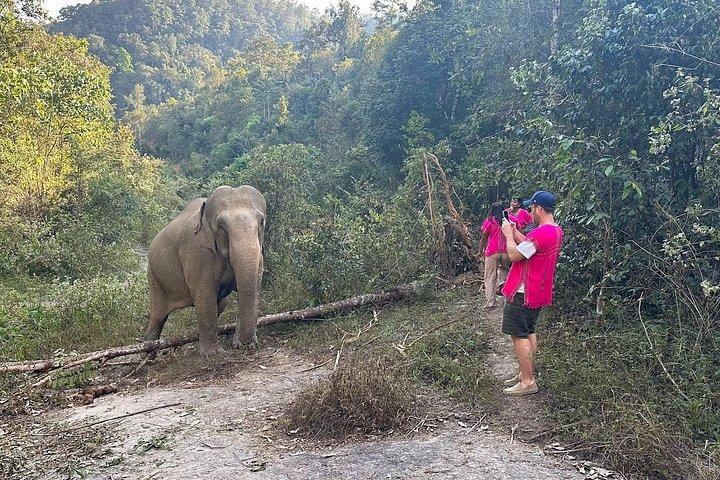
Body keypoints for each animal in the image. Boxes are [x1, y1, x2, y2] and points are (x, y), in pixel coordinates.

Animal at [145, 185, 266, 355]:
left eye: (261, 222)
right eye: (222, 227)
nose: (241, 345)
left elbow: (253, 289)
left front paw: (245, 345)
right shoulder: (195, 251)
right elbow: (205, 293)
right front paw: (213, 353)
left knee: (220, 304)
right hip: (154, 276)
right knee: (158, 316)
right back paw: (148, 353)